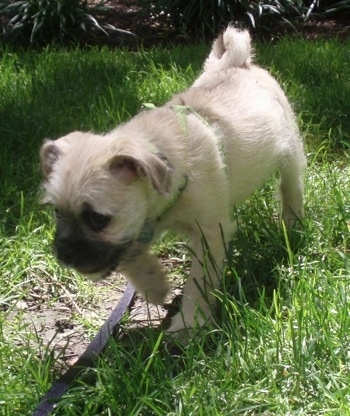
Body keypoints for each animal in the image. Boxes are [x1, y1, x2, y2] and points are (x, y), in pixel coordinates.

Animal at [39, 26, 304, 334]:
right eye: (57, 212)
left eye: (96, 219)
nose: (63, 253)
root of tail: (238, 64)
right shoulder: (141, 227)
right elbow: (129, 257)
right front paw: (153, 283)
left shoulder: (209, 234)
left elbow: (199, 281)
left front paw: (189, 321)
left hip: (290, 151)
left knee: (290, 186)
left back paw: (294, 223)